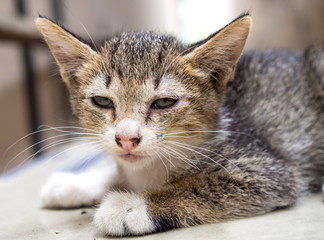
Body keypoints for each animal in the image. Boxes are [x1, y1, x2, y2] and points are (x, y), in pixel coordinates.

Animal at [35, 13, 324, 236]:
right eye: (102, 101)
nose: (127, 138)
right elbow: (118, 171)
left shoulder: (267, 170)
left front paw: (130, 206)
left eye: (163, 102)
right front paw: (75, 184)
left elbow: (201, 185)